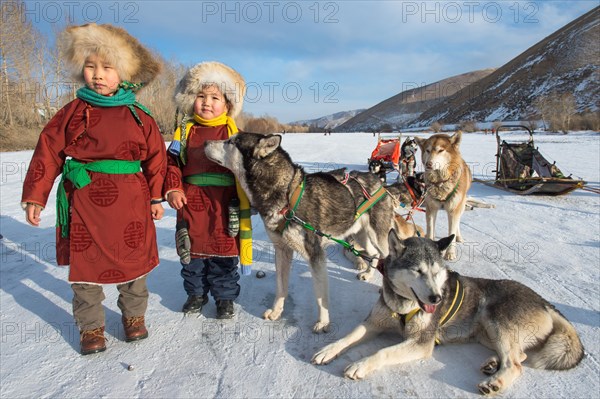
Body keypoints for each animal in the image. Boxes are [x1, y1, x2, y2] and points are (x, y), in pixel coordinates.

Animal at [205, 133, 408, 332]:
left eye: (231, 141)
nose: (205, 142)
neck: (287, 194)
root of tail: (381, 184)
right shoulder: (282, 250)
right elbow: (281, 287)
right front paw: (276, 311)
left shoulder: (315, 255)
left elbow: (320, 296)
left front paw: (324, 322)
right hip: (361, 235)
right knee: (373, 254)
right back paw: (367, 273)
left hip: (379, 237)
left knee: (384, 255)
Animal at [312, 234, 584, 396]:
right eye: (418, 271)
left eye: (436, 272)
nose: (437, 299)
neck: (405, 305)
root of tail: (545, 302)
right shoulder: (374, 323)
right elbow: (349, 336)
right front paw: (328, 350)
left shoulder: (421, 343)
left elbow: (383, 352)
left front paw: (360, 364)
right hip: (487, 332)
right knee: (521, 355)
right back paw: (493, 364)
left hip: (495, 320)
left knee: (516, 363)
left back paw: (495, 381)